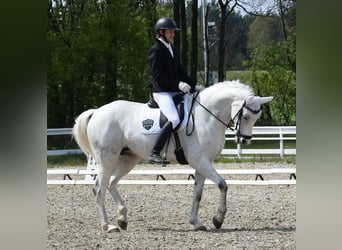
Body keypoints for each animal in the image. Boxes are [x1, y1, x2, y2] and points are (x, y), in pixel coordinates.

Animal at [72, 80, 272, 232]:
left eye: (256, 118)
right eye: (245, 117)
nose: (244, 140)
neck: (207, 116)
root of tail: (97, 111)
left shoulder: (204, 162)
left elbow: (198, 193)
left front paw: (197, 223)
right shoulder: (199, 160)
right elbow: (223, 184)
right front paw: (218, 219)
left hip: (129, 158)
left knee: (112, 183)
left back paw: (122, 218)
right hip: (107, 159)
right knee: (100, 189)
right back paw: (108, 226)